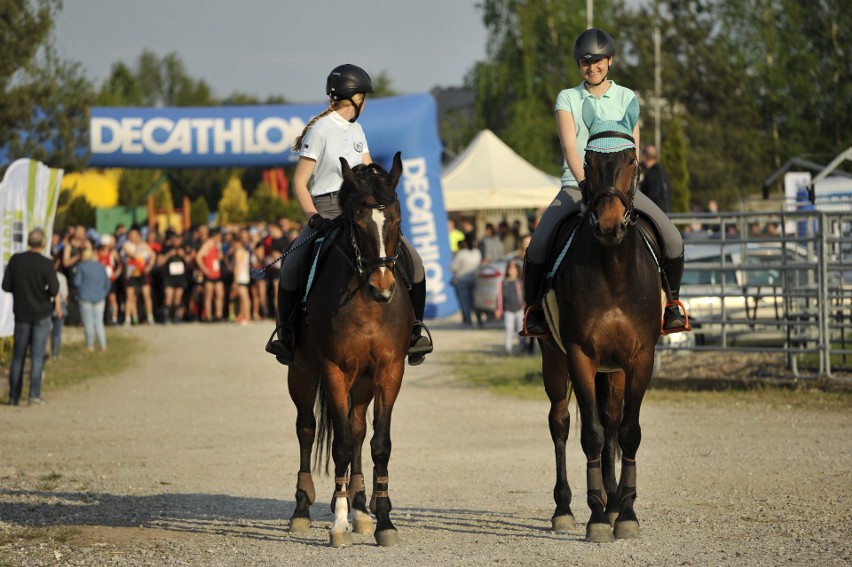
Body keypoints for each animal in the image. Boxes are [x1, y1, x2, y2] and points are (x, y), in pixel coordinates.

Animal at [284, 153, 414, 548]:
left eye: (396, 219)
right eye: (357, 222)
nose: (383, 288)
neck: (367, 304)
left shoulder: (389, 370)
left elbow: (378, 443)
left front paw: (382, 520)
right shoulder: (333, 371)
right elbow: (338, 444)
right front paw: (339, 525)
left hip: (363, 381)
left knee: (356, 430)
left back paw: (360, 509)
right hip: (301, 374)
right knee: (307, 429)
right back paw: (303, 509)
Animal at [540, 131, 664, 544]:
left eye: (631, 160)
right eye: (589, 163)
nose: (610, 226)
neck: (613, 270)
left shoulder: (640, 358)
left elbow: (627, 432)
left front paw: (624, 512)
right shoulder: (580, 355)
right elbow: (590, 435)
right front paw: (595, 517)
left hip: (615, 370)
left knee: (611, 421)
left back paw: (612, 501)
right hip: (554, 357)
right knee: (560, 422)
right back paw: (564, 509)